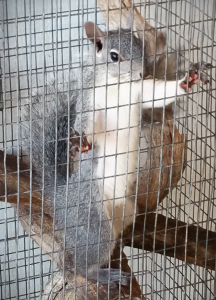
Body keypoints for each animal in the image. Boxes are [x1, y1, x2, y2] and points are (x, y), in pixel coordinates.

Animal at [20, 21, 213, 286]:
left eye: (141, 46)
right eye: (114, 56)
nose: (142, 71)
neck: (119, 84)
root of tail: (63, 196)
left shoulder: (140, 92)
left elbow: (158, 94)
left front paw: (188, 80)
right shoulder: (91, 103)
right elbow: (87, 125)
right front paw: (81, 141)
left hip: (126, 212)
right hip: (93, 221)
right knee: (79, 267)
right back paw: (101, 274)